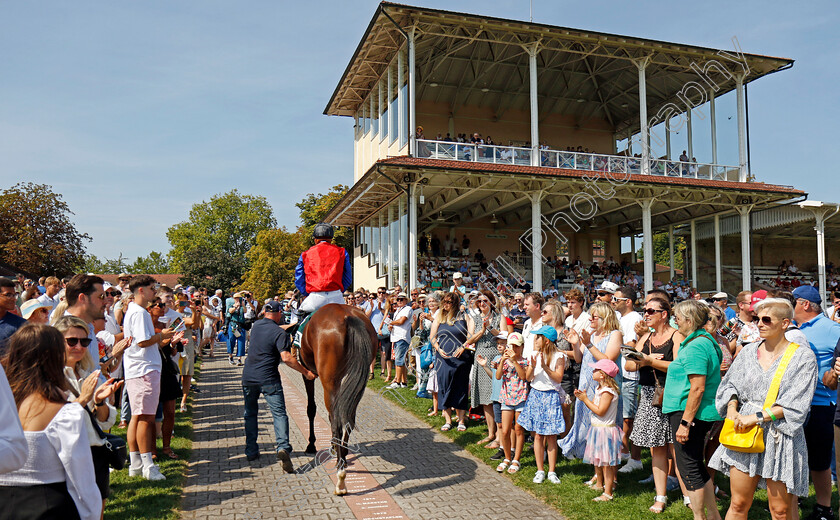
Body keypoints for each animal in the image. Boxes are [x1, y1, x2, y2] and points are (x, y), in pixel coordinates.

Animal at [296, 302, 374, 494]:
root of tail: (348, 316)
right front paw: (334, 446)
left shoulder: (308, 375)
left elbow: (311, 409)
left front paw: (312, 445)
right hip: (356, 382)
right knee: (348, 419)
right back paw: (343, 457)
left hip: (330, 381)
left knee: (338, 423)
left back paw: (340, 477)